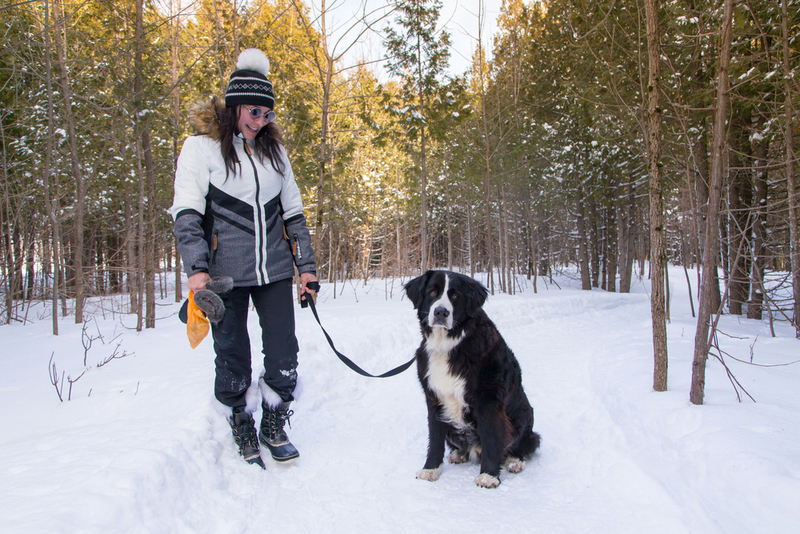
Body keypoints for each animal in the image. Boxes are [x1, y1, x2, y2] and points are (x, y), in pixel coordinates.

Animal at [404, 272, 540, 490]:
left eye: (455, 296)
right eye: (432, 292)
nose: (441, 312)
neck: (448, 345)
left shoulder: (489, 400)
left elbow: (491, 437)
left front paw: (489, 476)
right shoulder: (434, 399)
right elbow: (435, 439)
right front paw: (431, 469)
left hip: (523, 415)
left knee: (523, 441)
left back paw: (514, 461)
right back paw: (459, 454)